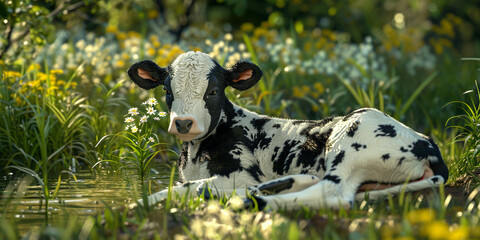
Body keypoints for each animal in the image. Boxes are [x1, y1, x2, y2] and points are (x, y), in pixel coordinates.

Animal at [126, 51, 446, 210]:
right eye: (167, 90)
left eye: (214, 91)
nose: (183, 122)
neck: (195, 155)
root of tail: (426, 142)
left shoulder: (241, 173)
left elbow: (183, 188)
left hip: (352, 143)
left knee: (334, 193)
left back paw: (253, 198)